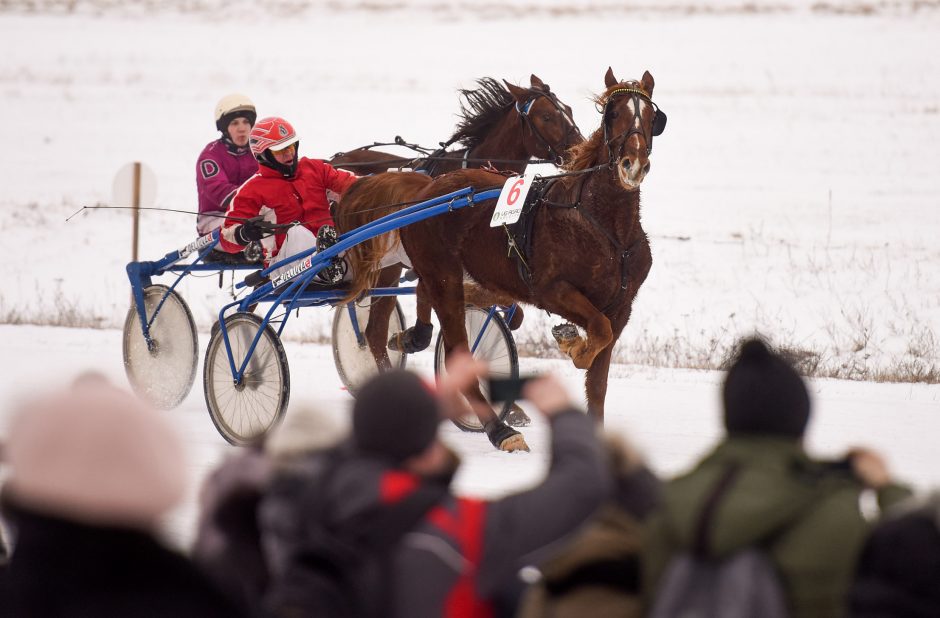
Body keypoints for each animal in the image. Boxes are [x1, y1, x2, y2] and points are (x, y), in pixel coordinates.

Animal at [386, 70, 664, 450]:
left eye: (652, 118)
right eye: (612, 113)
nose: (632, 165)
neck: (606, 227)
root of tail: (426, 191)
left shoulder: (621, 306)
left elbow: (598, 376)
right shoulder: (551, 290)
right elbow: (596, 333)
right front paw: (573, 344)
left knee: (432, 295)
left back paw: (414, 335)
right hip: (444, 275)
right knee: (456, 344)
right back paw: (499, 429)